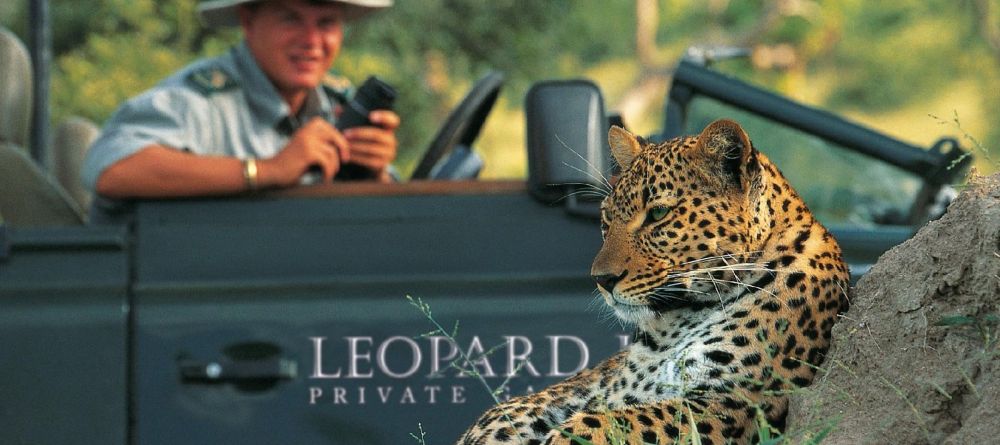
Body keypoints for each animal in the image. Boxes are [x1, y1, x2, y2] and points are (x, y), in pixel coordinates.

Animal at [457, 119, 851, 445]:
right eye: (607, 217)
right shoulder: (600, 388)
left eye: (658, 213)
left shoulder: (737, 402)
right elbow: (513, 417)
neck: (671, 327)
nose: (602, 279)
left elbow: (606, 423)